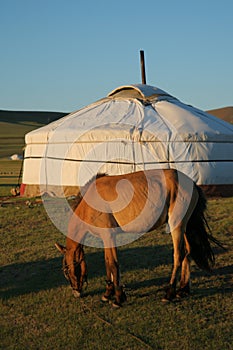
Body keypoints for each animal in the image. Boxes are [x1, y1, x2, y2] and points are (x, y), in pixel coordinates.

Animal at [55, 169, 219, 306]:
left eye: (67, 271)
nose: (76, 292)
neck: (90, 202)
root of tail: (192, 183)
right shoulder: (107, 238)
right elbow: (108, 263)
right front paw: (108, 294)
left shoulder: (108, 236)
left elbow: (113, 264)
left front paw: (118, 298)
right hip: (184, 227)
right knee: (187, 252)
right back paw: (183, 289)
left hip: (176, 226)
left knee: (179, 255)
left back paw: (169, 293)